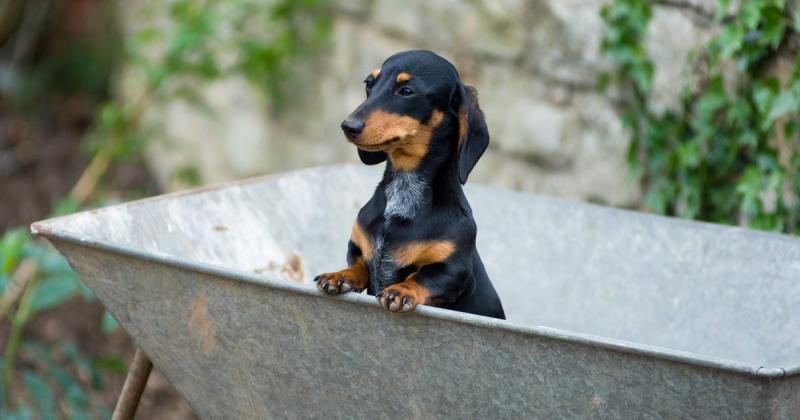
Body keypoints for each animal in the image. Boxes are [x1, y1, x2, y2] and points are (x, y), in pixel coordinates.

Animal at [316, 50, 504, 318]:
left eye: (406, 91)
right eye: (369, 83)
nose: (348, 126)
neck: (403, 192)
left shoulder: (453, 270)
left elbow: (421, 278)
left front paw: (401, 290)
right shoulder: (357, 247)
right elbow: (358, 265)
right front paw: (340, 275)